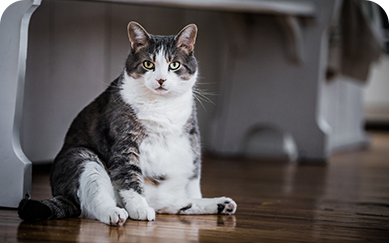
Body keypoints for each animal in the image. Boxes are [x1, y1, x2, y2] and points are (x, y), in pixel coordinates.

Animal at [18, 21, 236, 227]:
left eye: (174, 65)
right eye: (148, 64)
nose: (161, 79)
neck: (161, 105)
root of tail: (62, 195)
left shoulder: (191, 135)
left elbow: (194, 174)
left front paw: (197, 197)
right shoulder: (124, 140)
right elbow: (129, 176)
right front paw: (139, 208)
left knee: (172, 203)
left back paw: (220, 204)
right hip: (80, 157)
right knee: (92, 204)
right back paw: (115, 213)